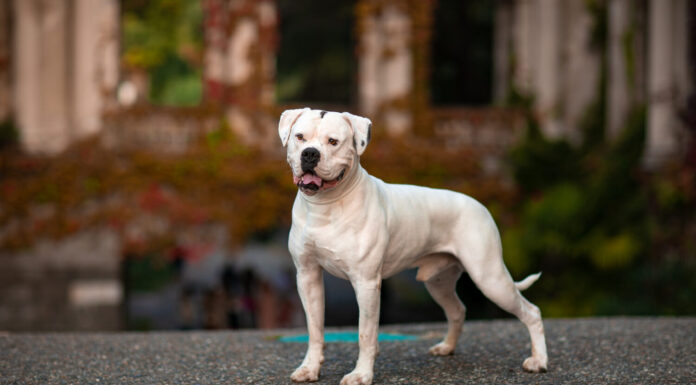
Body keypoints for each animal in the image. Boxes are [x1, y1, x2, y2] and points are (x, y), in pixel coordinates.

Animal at [280, 108, 548, 384]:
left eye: (333, 141)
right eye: (300, 137)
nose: (310, 153)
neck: (325, 206)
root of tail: (479, 205)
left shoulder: (366, 283)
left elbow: (366, 334)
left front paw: (361, 374)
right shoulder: (308, 276)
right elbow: (315, 329)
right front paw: (309, 368)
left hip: (490, 278)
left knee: (531, 312)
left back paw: (538, 361)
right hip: (438, 282)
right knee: (457, 310)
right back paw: (447, 347)